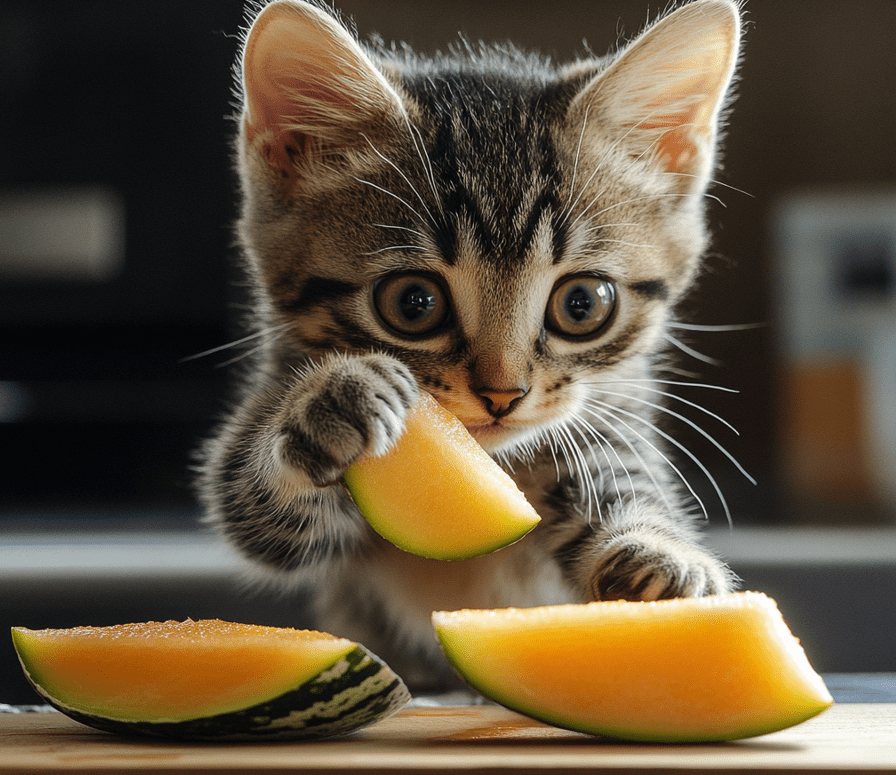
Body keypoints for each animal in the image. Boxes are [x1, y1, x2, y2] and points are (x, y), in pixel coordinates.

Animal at [200, 1, 744, 692]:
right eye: (413, 303)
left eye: (583, 305)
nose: (502, 393)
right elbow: (258, 511)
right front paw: (333, 402)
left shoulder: (617, 409)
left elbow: (623, 478)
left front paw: (660, 555)